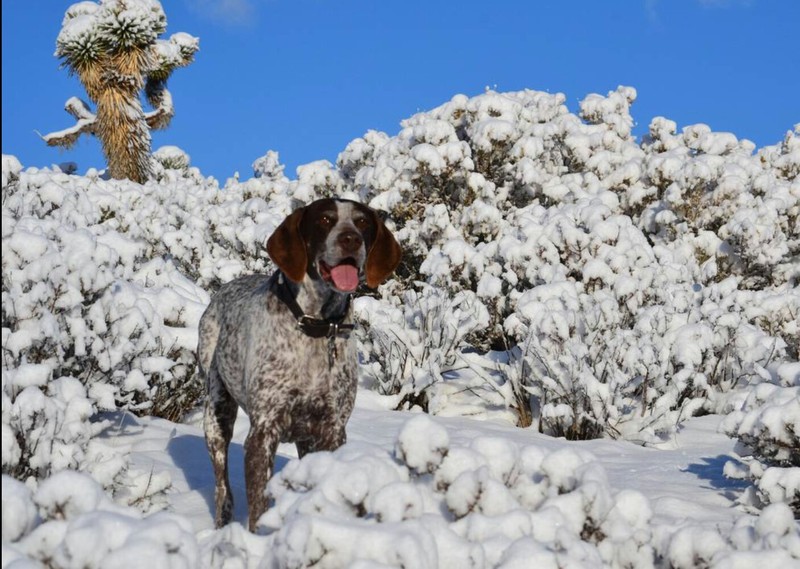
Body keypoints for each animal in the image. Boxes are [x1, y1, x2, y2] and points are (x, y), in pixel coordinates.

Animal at [198, 198, 401, 531]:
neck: (317, 326)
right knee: (222, 487)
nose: (350, 239)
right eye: (324, 220)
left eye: (362, 222)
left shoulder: (332, 430)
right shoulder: (264, 432)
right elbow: (258, 507)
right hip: (217, 416)